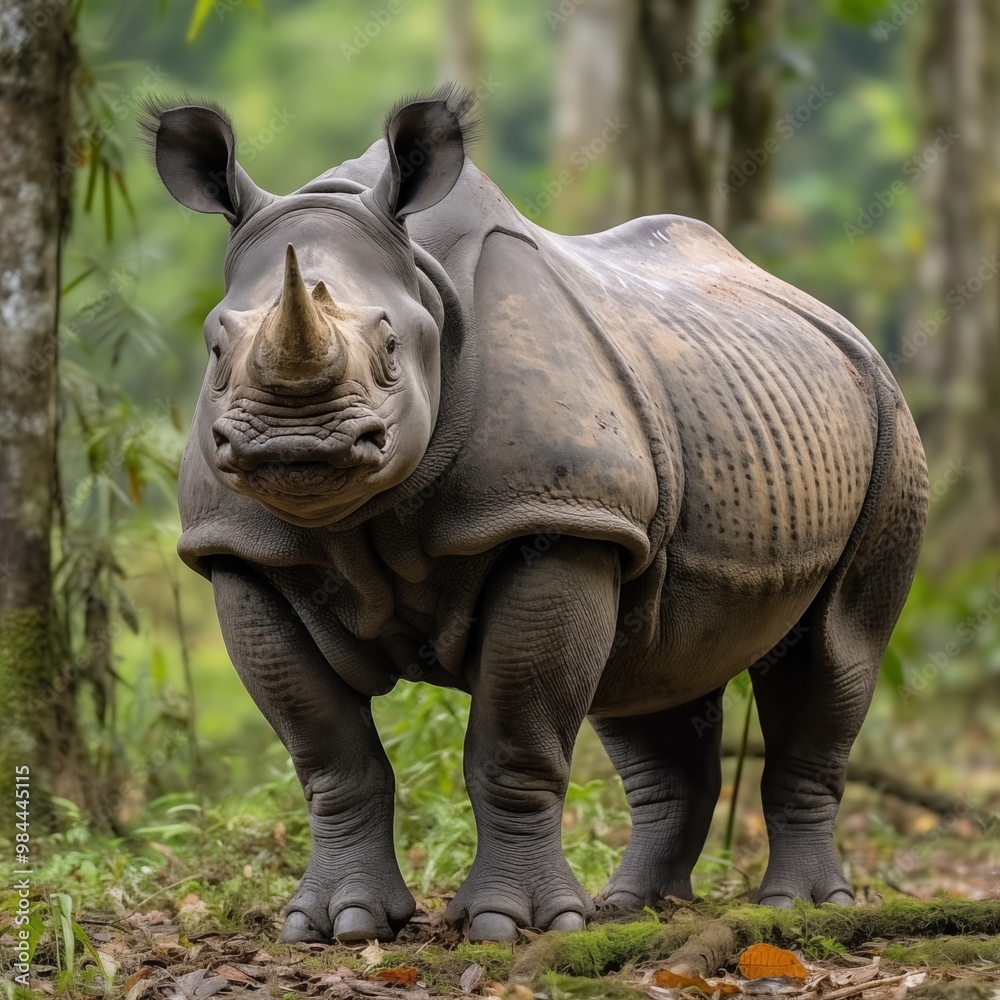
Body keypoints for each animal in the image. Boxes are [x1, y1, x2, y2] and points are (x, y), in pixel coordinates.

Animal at [142, 85, 928, 944]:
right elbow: (329, 753)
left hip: (887, 423)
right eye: (217, 348)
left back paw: (801, 908)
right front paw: (337, 926)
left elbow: (514, 740)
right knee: (650, 670)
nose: (294, 445)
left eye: (390, 348)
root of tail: (828, 316)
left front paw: (507, 926)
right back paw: (631, 910)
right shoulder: (240, 549)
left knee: (831, 649)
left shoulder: (552, 520)